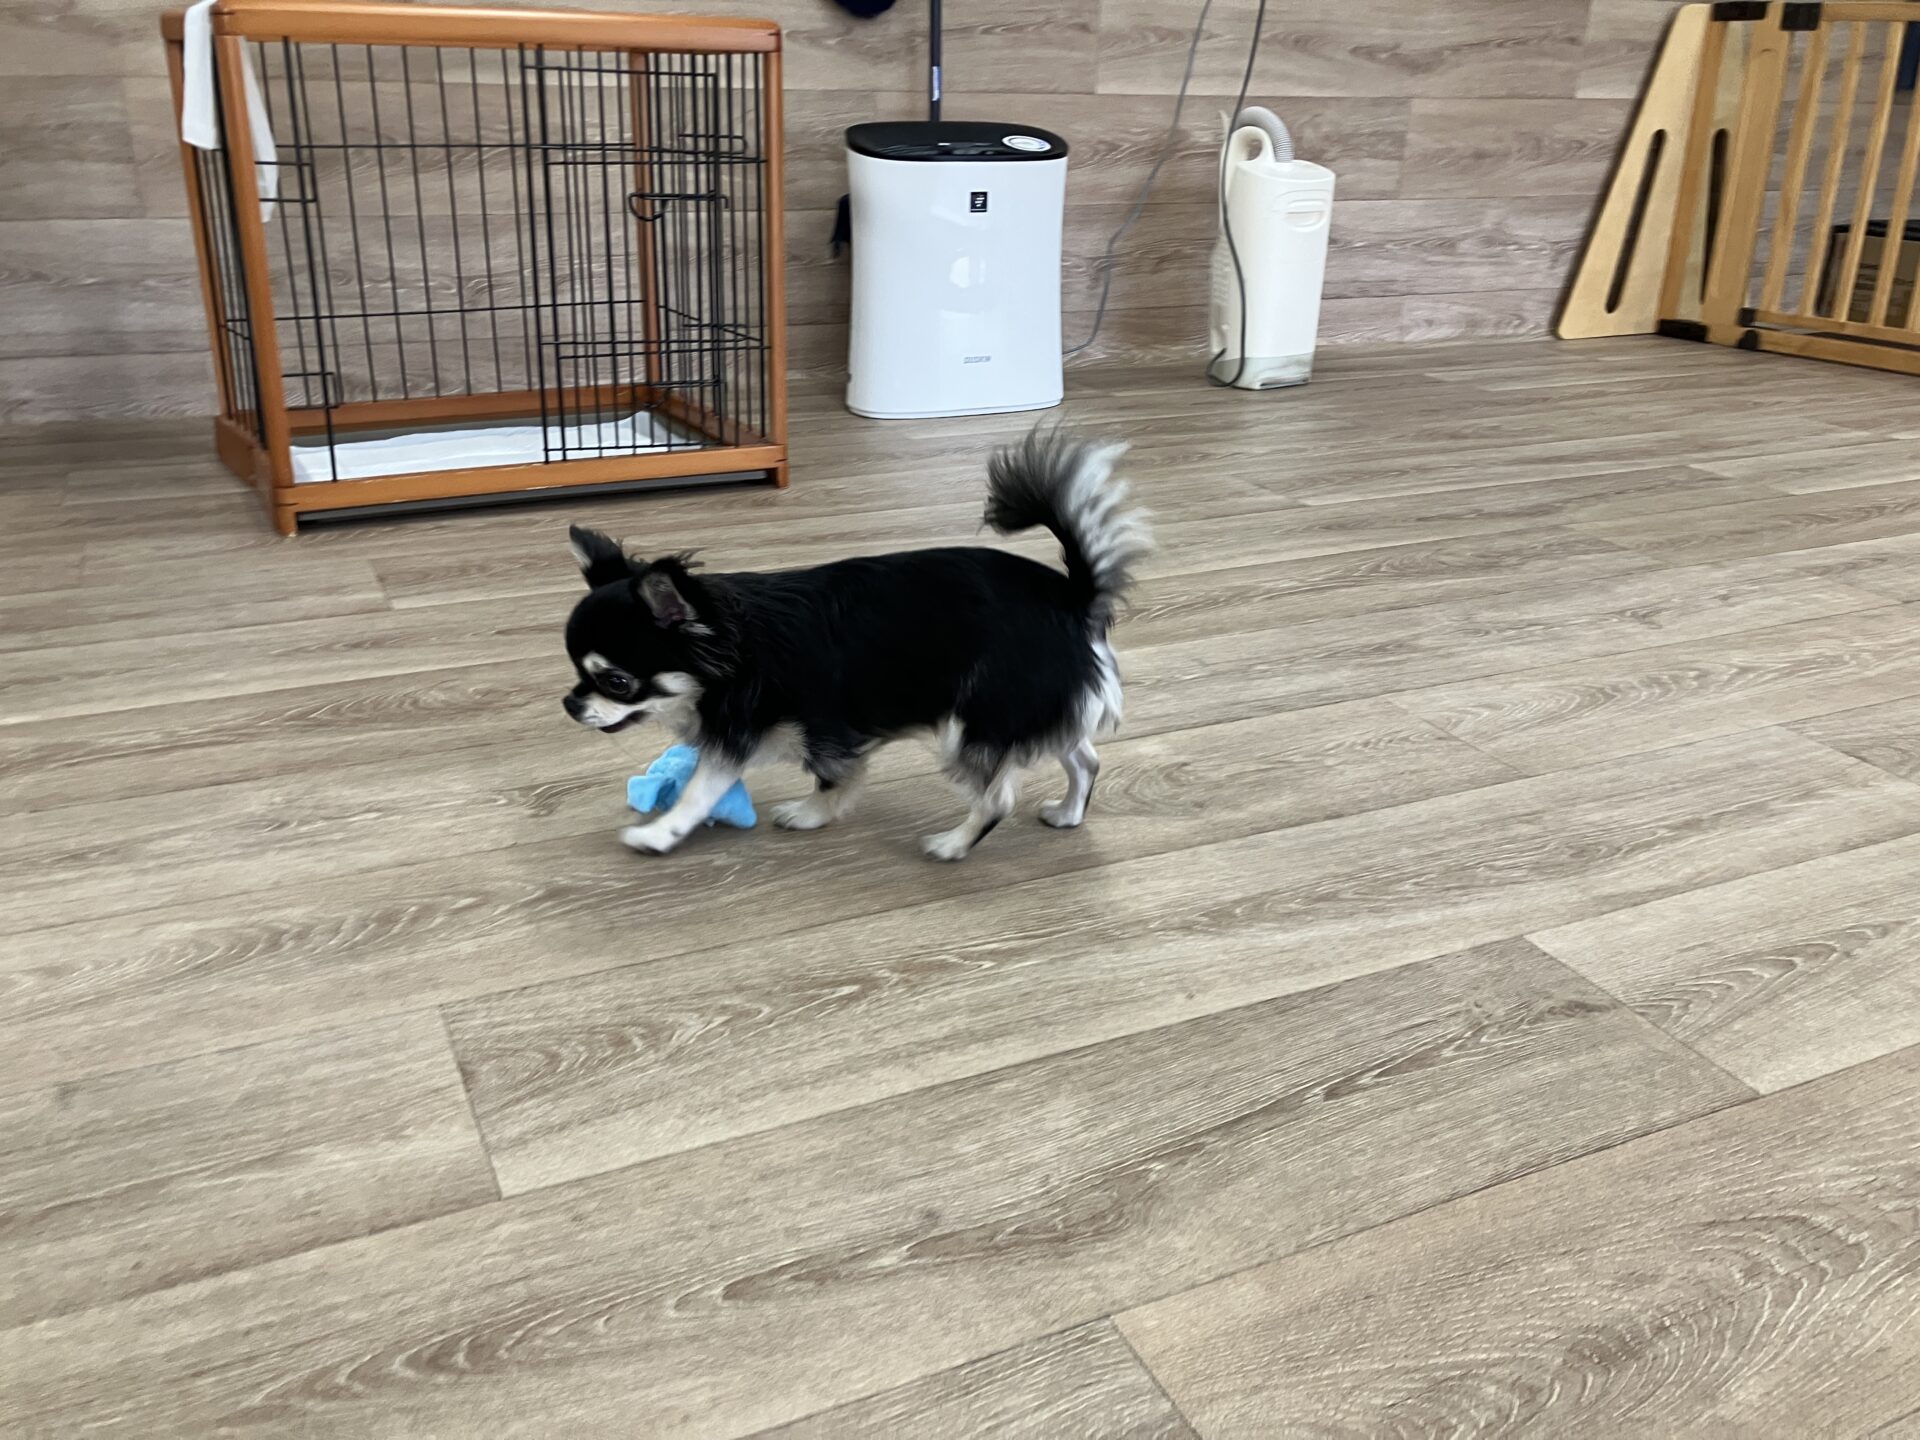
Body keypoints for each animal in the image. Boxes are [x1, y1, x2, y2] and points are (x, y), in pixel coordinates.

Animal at [561, 427, 1150, 860]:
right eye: (575, 673)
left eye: (616, 681)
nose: (569, 703)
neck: (733, 644)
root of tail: (1072, 597)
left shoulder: (797, 732)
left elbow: (719, 789)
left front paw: (662, 833)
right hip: (1034, 707)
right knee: (1084, 757)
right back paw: (1067, 814)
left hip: (976, 723)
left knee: (999, 796)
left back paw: (951, 845)